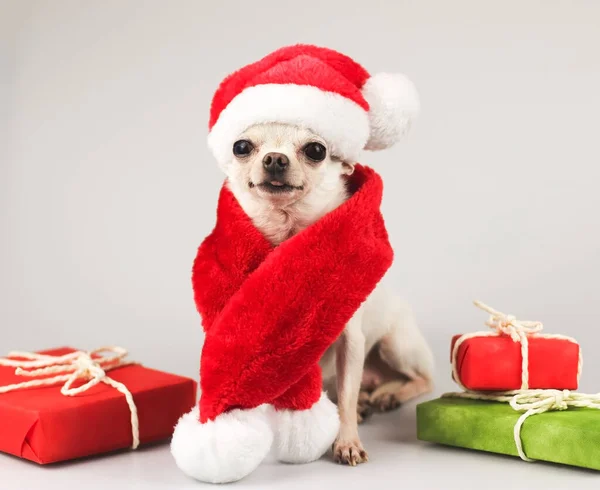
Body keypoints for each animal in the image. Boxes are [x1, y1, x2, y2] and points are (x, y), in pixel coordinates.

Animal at [223, 121, 434, 464]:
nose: (275, 158)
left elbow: (346, 398)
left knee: (423, 379)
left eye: (316, 150)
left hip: (396, 345)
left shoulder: (351, 342)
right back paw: (370, 399)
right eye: (241, 147)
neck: (289, 236)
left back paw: (388, 395)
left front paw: (347, 441)